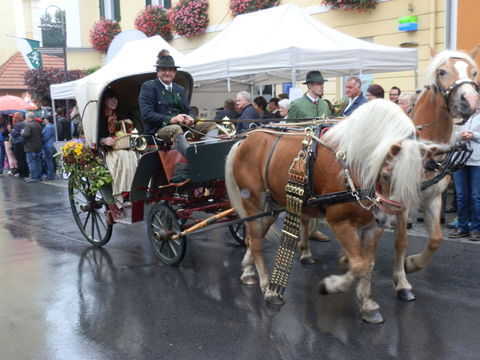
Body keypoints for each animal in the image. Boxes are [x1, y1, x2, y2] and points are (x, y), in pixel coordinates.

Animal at [225, 99, 442, 324]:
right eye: (386, 175)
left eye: (420, 176)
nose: (386, 218)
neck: (356, 167)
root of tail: (246, 139)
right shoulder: (340, 221)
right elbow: (359, 265)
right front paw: (330, 286)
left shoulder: (372, 227)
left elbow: (368, 264)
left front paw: (367, 304)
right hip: (253, 202)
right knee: (257, 242)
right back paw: (268, 288)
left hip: (272, 207)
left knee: (252, 238)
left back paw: (248, 272)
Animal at [388, 46, 478, 302]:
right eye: (442, 71)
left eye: (474, 72)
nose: (470, 101)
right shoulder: (402, 199)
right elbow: (400, 240)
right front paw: (402, 283)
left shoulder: (433, 196)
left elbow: (436, 239)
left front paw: (411, 264)